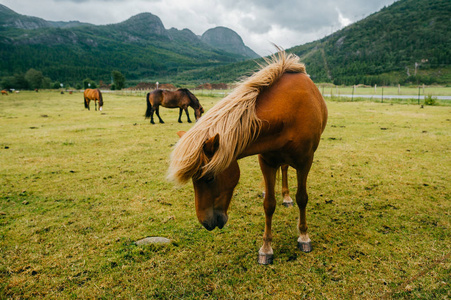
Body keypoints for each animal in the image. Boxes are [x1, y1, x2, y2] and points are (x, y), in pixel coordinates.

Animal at [169, 51, 328, 264]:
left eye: (209, 178)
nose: (206, 223)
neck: (289, 114)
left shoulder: (305, 162)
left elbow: (302, 198)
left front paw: (303, 237)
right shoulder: (266, 162)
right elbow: (269, 204)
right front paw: (266, 248)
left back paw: (287, 198)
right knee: (283, 170)